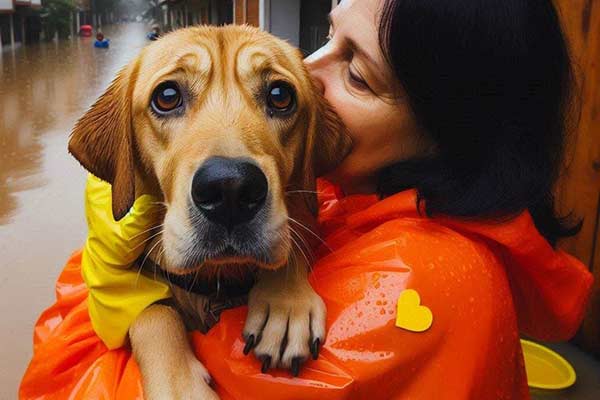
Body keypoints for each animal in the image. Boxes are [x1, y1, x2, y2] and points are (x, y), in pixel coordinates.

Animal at [67, 25, 352, 400]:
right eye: (167, 96)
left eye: (280, 95)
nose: (230, 188)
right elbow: (152, 313)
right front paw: (178, 385)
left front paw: (286, 302)